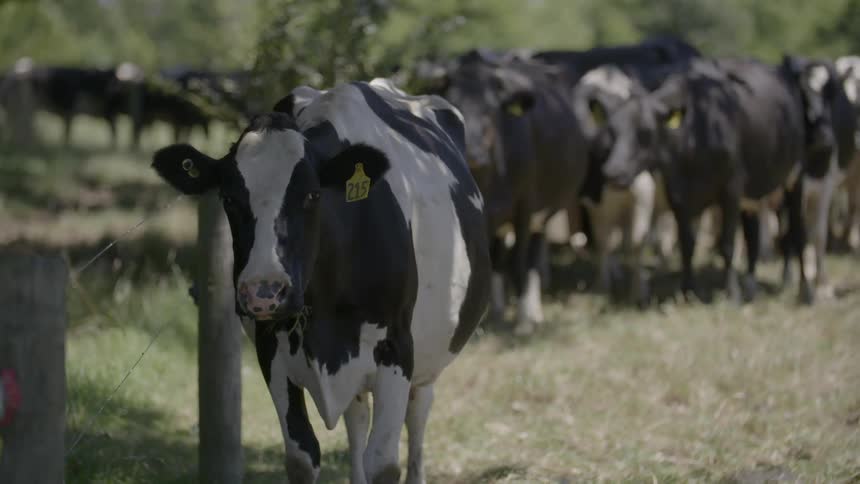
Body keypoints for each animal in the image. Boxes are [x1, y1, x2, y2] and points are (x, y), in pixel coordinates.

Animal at [152, 78, 490, 484]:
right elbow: (303, 455)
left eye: (312, 195)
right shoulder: (271, 350)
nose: (264, 292)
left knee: (418, 412)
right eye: (229, 198)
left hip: (431, 350)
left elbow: (384, 462)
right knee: (356, 418)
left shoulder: (397, 347)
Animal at [428, 50, 587, 333]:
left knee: (531, 259)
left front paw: (523, 321)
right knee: (500, 257)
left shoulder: (525, 207)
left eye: (491, 109)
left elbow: (517, 263)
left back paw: (532, 312)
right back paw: (498, 311)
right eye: (454, 107)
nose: (474, 152)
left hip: (542, 213)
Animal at [599, 58, 813, 303]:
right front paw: (687, 290)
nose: (612, 171)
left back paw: (806, 291)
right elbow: (687, 244)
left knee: (797, 232)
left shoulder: (731, 188)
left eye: (645, 132)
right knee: (753, 235)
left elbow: (727, 244)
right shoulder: (678, 194)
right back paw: (750, 287)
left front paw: (731, 293)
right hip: (753, 194)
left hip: (795, 177)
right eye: (612, 131)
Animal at [781, 56, 857, 298]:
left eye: (831, 94)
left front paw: (821, 284)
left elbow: (819, 234)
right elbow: (794, 232)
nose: (825, 136)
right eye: (802, 95)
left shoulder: (825, 187)